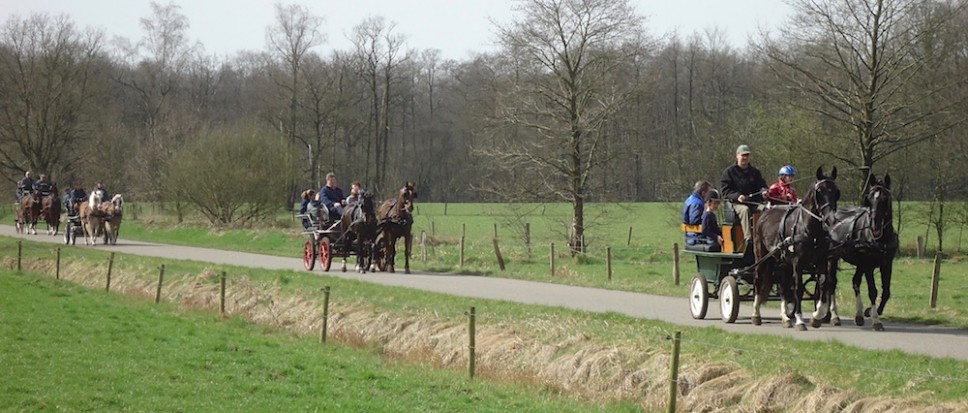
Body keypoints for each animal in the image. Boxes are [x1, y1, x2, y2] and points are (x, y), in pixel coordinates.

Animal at [748, 166, 840, 330]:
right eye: (820, 191)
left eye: (836, 191)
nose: (831, 219)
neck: (809, 229)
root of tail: (766, 212)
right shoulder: (798, 262)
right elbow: (798, 288)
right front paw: (800, 320)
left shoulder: (822, 260)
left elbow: (823, 284)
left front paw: (817, 316)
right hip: (762, 257)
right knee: (758, 279)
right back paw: (756, 315)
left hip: (783, 262)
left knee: (783, 287)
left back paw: (785, 318)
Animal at [828, 172, 896, 330]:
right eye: (869, 199)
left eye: (885, 199)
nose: (875, 226)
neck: (880, 239)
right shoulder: (868, 266)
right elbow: (873, 291)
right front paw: (876, 320)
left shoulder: (887, 264)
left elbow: (886, 291)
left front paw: (869, 311)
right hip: (832, 258)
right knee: (831, 283)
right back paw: (833, 316)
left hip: (859, 263)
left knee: (855, 282)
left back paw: (858, 315)